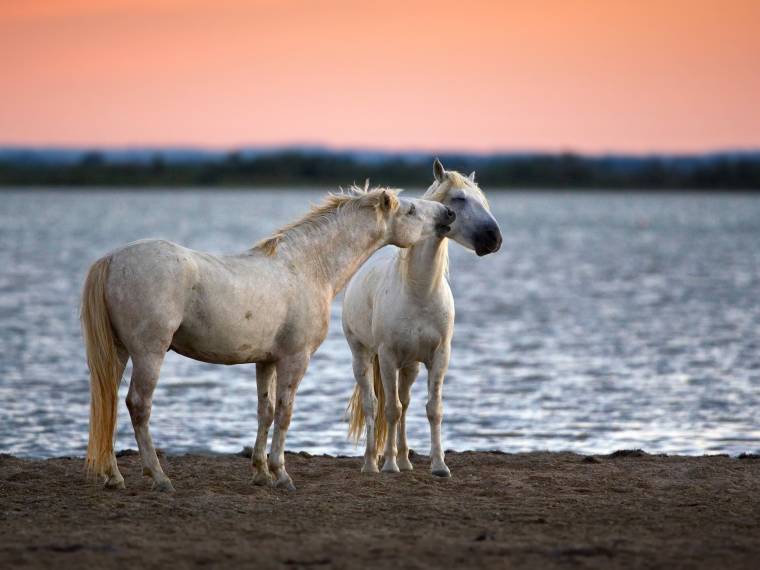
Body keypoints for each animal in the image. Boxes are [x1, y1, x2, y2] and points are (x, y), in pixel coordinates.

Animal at [81, 185, 455, 492]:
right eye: (411, 210)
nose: (448, 215)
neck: (306, 269)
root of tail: (111, 260)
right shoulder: (295, 359)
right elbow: (285, 412)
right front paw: (282, 474)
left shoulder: (267, 361)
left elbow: (265, 411)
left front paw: (261, 473)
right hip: (149, 353)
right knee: (138, 405)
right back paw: (159, 478)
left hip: (119, 352)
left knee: (109, 402)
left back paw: (114, 477)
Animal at [343, 159, 502, 477]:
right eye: (458, 199)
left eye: (482, 200)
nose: (494, 238)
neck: (420, 291)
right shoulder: (388, 356)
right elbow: (390, 409)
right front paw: (389, 465)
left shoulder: (439, 356)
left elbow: (432, 409)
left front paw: (439, 465)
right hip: (363, 355)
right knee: (372, 404)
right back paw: (372, 463)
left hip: (411, 366)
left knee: (405, 401)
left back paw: (405, 460)